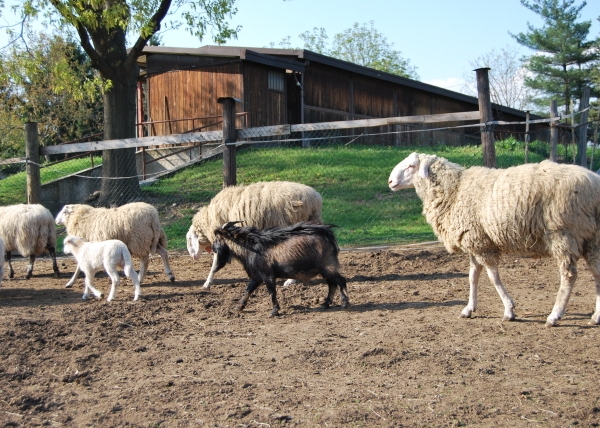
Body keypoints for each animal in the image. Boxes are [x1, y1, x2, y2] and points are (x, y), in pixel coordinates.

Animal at [186, 179, 324, 290]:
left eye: (189, 239)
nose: (192, 257)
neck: (208, 220)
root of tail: (314, 198)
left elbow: (216, 261)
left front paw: (207, 282)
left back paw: (291, 280)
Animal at [212, 221, 350, 318]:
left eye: (217, 238)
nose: (213, 248)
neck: (252, 247)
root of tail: (330, 238)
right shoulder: (257, 277)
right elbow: (248, 290)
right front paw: (238, 308)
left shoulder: (267, 276)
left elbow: (272, 292)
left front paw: (274, 311)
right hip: (325, 269)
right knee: (332, 283)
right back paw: (325, 304)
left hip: (327, 266)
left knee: (340, 280)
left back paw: (345, 303)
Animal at [390, 153, 600, 328]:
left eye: (411, 166)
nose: (390, 181)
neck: (454, 189)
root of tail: (594, 185)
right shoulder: (474, 241)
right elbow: (472, 276)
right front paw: (469, 309)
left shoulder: (482, 244)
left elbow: (493, 277)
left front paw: (509, 310)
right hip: (593, 238)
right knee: (597, 273)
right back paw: (595, 317)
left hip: (563, 233)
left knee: (569, 275)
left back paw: (554, 316)